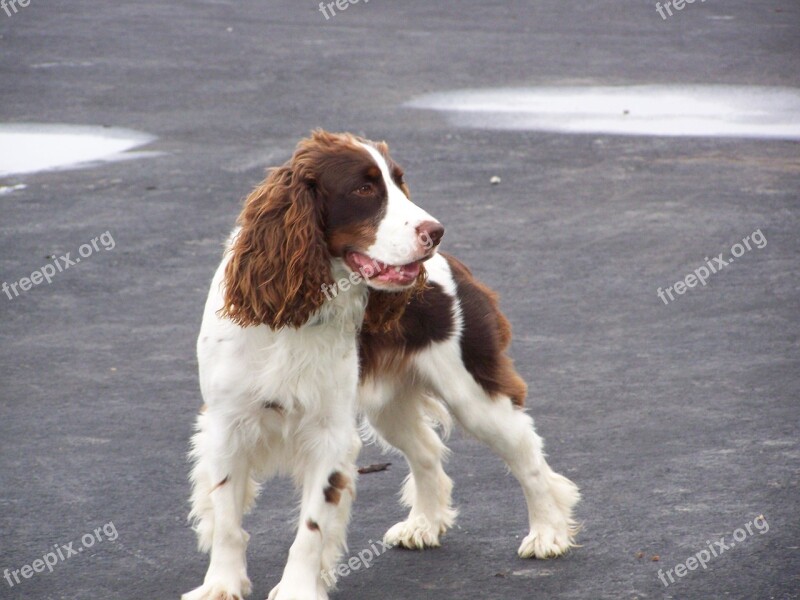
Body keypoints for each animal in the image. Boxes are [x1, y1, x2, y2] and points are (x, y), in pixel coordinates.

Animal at [184, 131, 580, 600]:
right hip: (390, 406)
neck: (296, 315)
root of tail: (457, 267)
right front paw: (221, 585)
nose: (436, 232)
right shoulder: (227, 425)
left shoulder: (328, 433)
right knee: (426, 450)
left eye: (399, 183)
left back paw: (547, 532)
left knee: (528, 456)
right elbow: (226, 518)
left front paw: (298, 588)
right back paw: (424, 524)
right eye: (363, 188)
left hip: (474, 395)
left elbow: (311, 528)